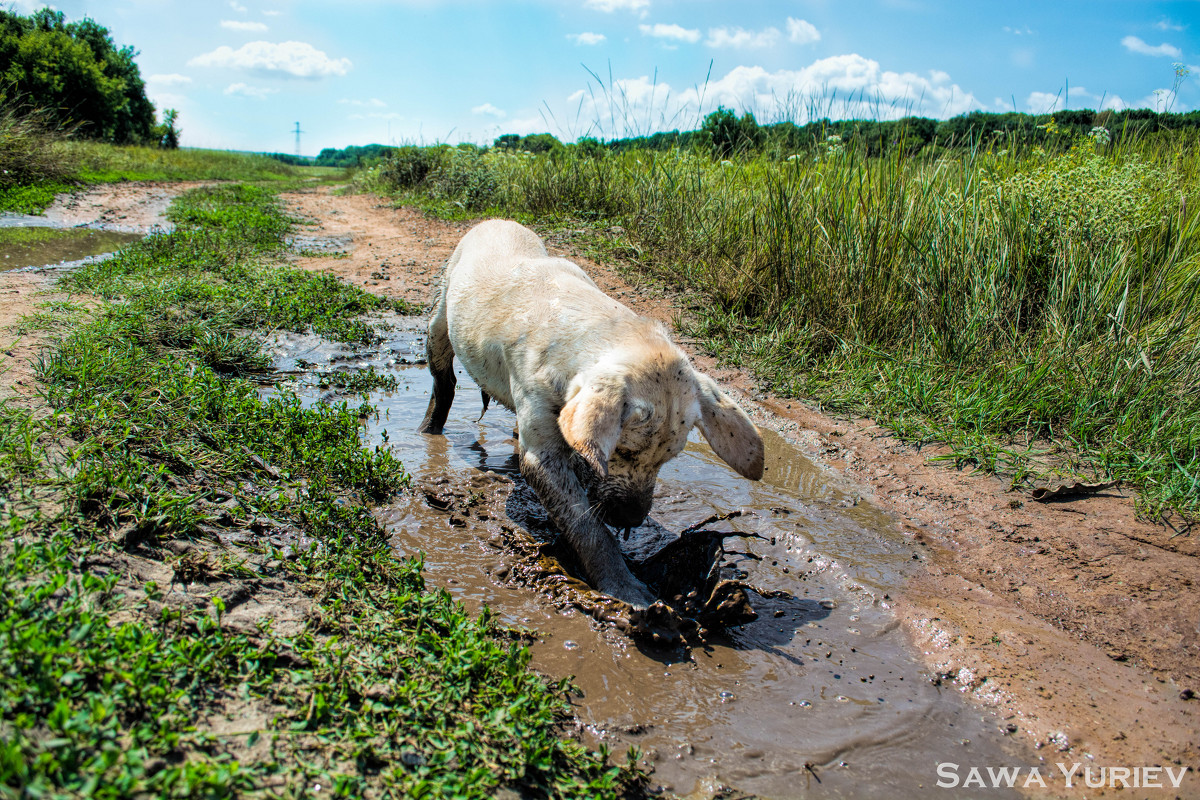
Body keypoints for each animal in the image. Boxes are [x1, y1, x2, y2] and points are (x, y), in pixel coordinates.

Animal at [420, 219, 758, 606]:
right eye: (623, 450)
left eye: (668, 459)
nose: (631, 518)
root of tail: (494, 220)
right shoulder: (540, 435)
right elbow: (585, 524)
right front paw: (629, 592)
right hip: (440, 313)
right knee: (443, 383)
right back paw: (427, 431)